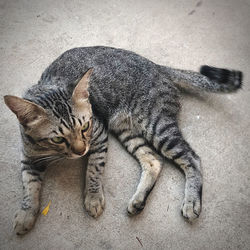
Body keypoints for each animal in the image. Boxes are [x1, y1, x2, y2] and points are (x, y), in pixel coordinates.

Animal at [3, 45, 242, 234]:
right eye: (58, 139)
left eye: (85, 126)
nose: (81, 150)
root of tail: (157, 66)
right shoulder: (28, 157)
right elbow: (29, 187)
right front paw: (26, 214)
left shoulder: (99, 135)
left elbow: (93, 170)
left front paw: (93, 198)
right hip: (128, 131)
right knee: (154, 161)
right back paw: (138, 200)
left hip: (157, 125)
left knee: (192, 158)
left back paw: (191, 201)